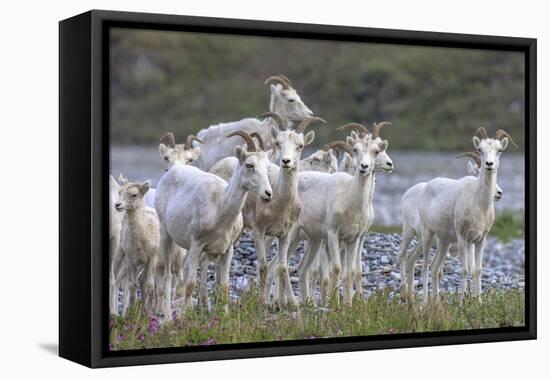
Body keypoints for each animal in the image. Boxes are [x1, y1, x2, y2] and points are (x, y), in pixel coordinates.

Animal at [114, 177, 161, 316]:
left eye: (134, 194)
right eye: (120, 192)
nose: (117, 205)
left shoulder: (151, 259)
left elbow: (149, 285)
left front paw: (149, 314)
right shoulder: (132, 260)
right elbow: (132, 287)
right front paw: (132, 314)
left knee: (143, 283)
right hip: (120, 255)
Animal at [155, 130, 274, 316]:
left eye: (267, 167)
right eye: (249, 165)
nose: (268, 193)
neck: (219, 209)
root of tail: (172, 171)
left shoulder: (227, 250)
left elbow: (224, 286)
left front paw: (223, 314)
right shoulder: (197, 245)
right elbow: (191, 284)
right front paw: (186, 315)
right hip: (166, 235)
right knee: (168, 275)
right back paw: (166, 314)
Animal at [416, 128, 520, 302]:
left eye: (499, 150)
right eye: (481, 149)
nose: (489, 164)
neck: (478, 205)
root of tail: (426, 187)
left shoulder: (480, 240)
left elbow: (477, 270)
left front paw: (478, 301)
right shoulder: (462, 238)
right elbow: (465, 269)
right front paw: (462, 302)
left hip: (444, 241)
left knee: (435, 267)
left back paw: (436, 303)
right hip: (427, 235)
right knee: (425, 266)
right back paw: (424, 302)